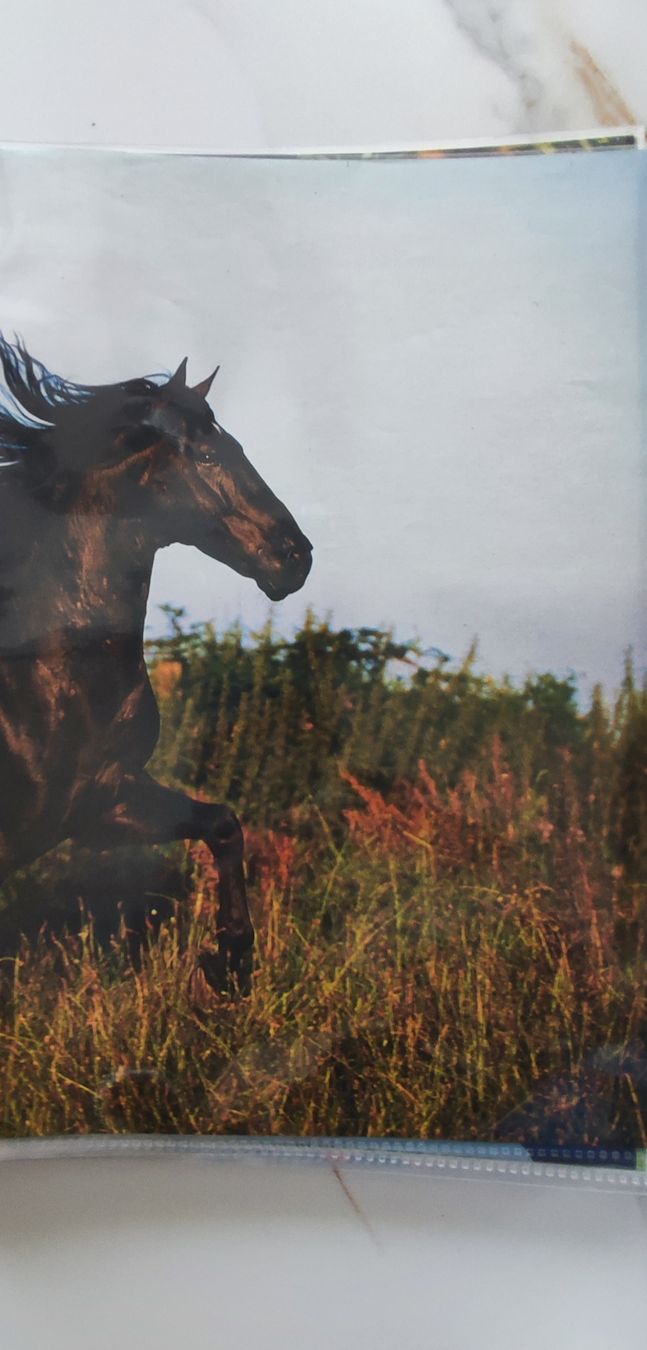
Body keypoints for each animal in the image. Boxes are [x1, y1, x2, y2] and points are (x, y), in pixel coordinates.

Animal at [0, 337, 312, 993]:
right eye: (210, 455)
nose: (296, 556)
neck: (46, 667)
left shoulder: (101, 799)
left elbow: (221, 823)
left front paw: (231, 960)